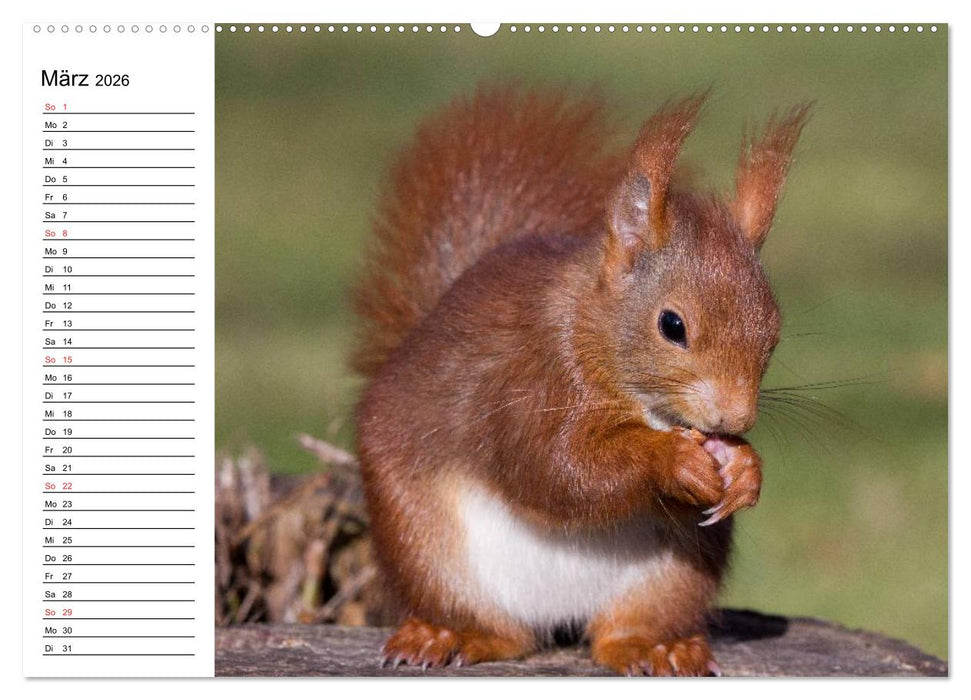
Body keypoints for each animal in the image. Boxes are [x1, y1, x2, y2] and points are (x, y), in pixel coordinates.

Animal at [351, 85, 811, 676]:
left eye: (773, 333)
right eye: (672, 325)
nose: (735, 418)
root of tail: (557, 614)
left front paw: (745, 468)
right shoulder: (529, 377)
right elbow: (555, 467)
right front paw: (672, 460)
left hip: (676, 574)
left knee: (622, 631)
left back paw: (656, 647)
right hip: (422, 543)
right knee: (495, 628)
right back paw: (450, 635)